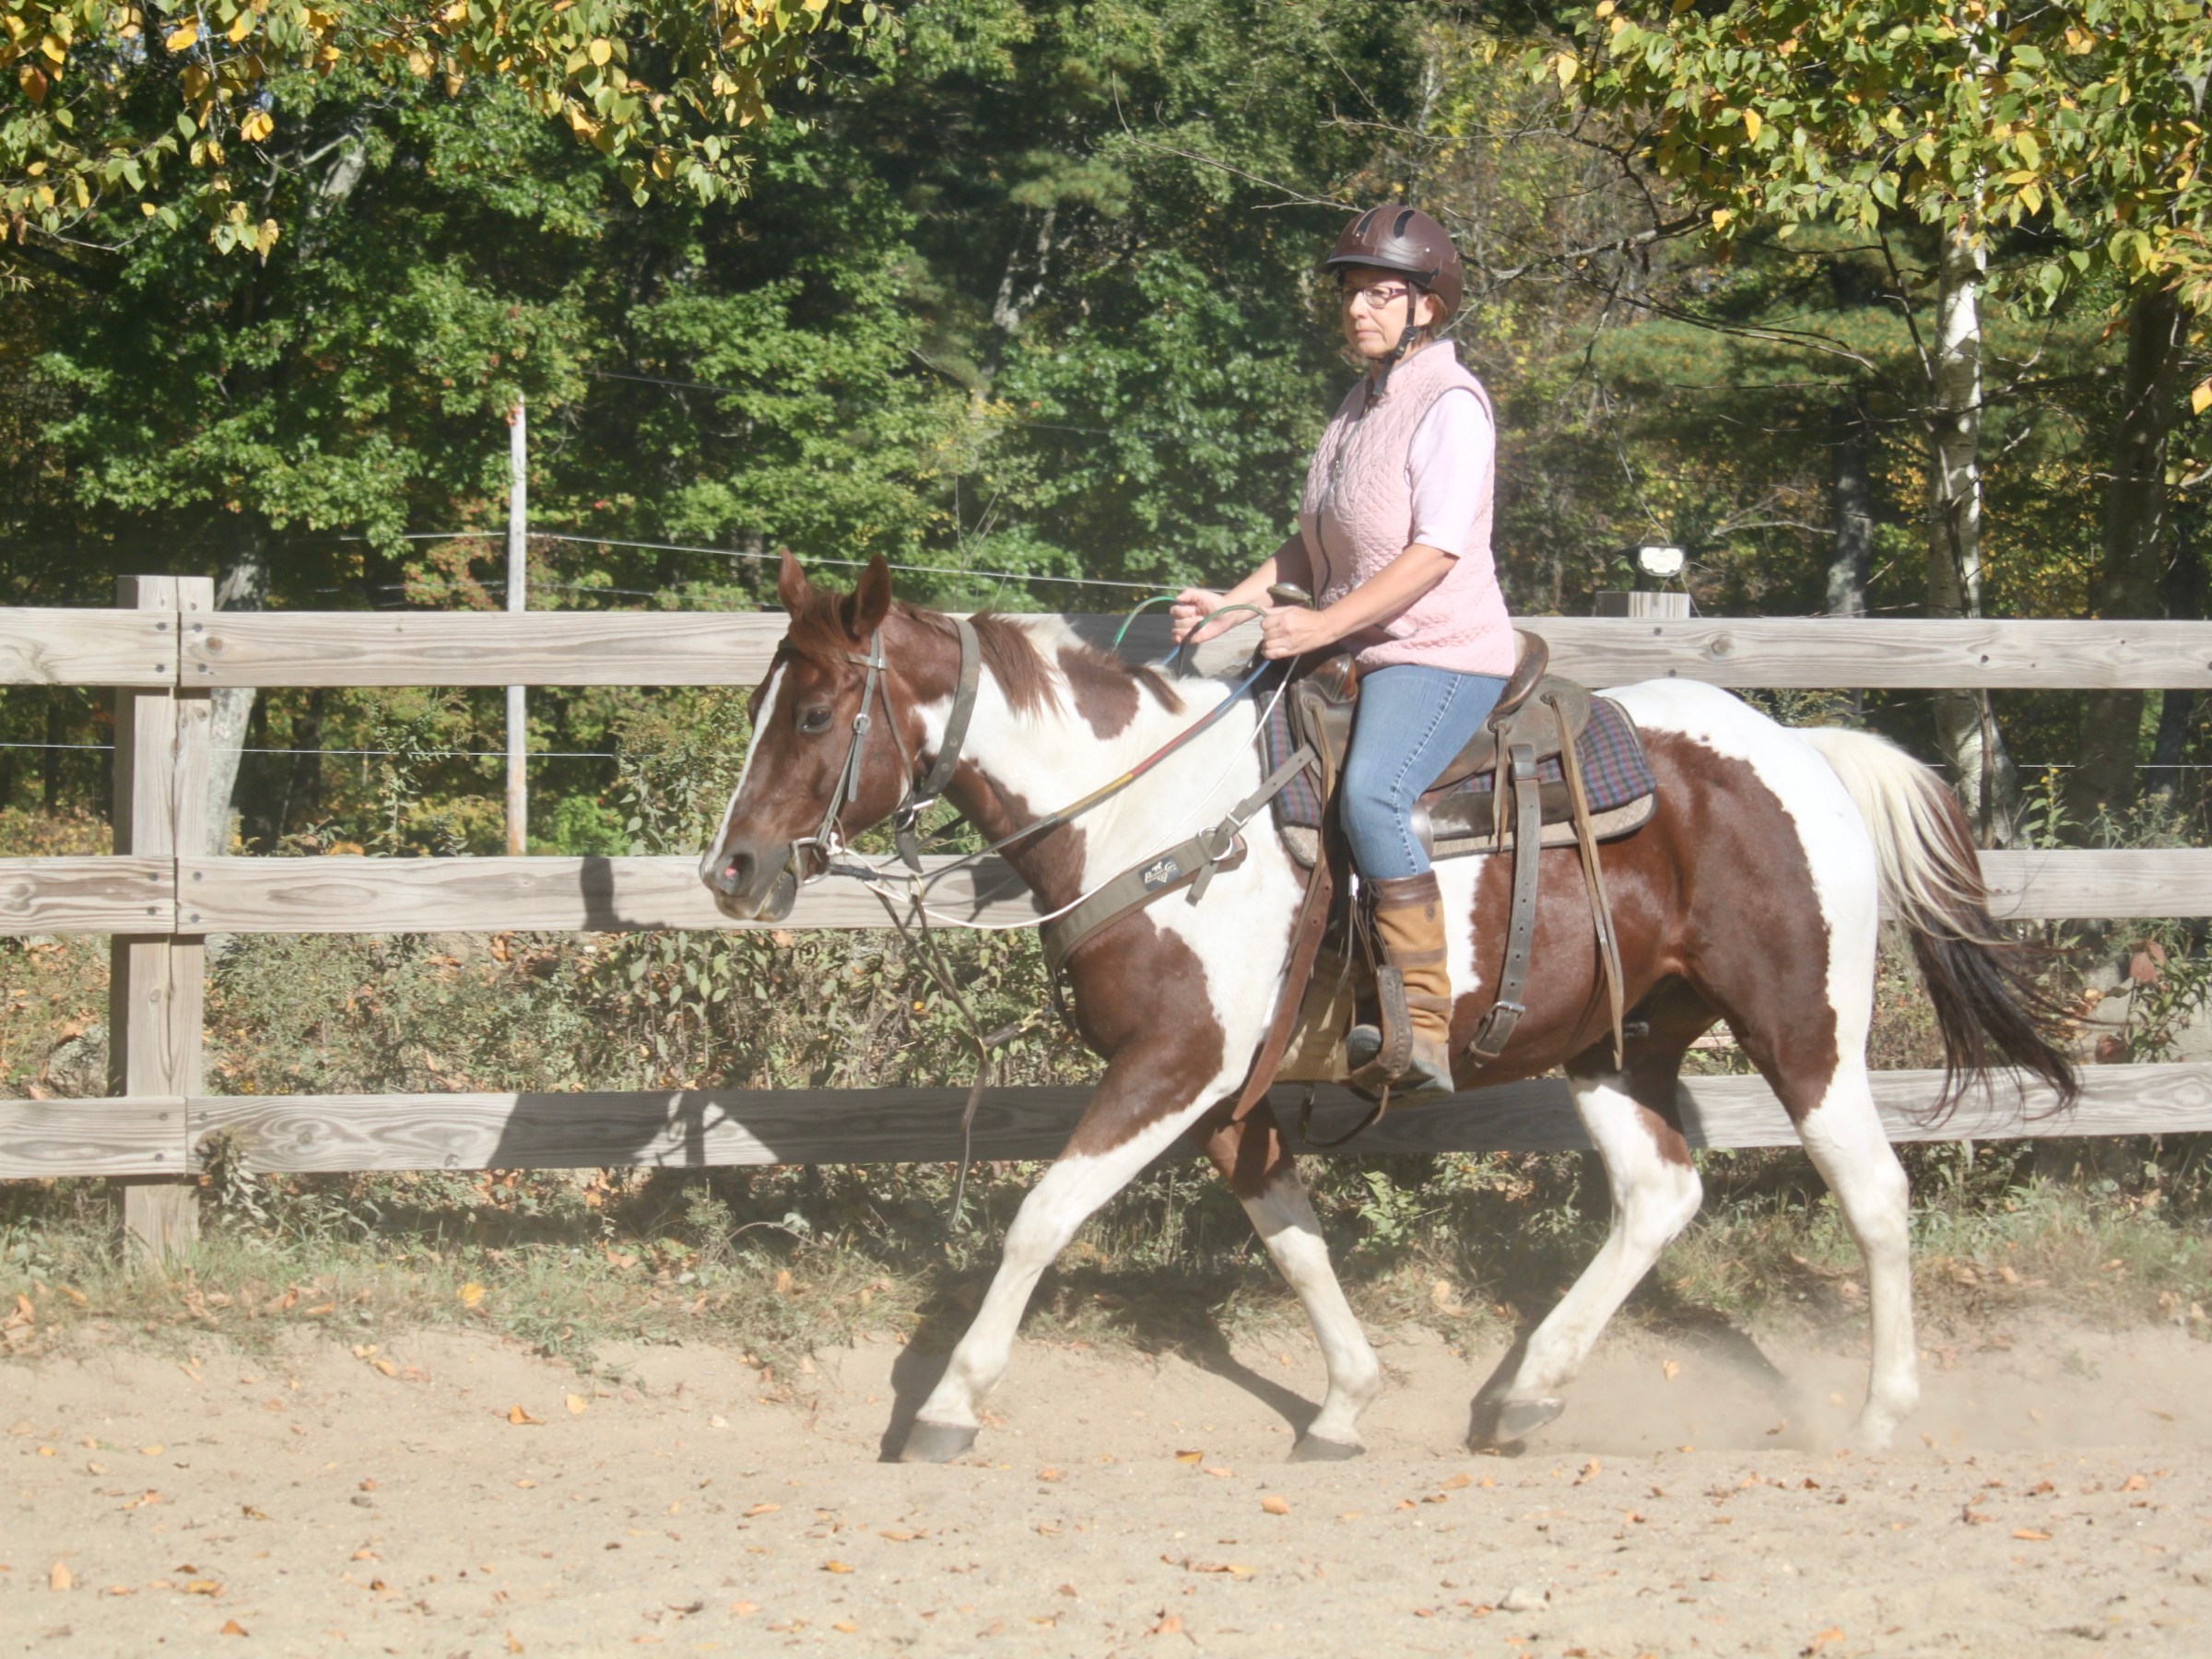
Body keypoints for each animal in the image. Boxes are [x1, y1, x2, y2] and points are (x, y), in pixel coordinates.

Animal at [701, 552, 2075, 1463]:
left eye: (816, 711)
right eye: (766, 702)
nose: (733, 870)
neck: (1149, 816)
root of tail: (1805, 756)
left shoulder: (1176, 1063)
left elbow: (1044, 1215)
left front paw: (946, 1404)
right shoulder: (1231, 1090)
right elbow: (1292, 1233)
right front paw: (1347, 1402)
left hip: (1803, 1026)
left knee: (1874, 1192)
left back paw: (1879, 1416)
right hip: (1617, 1043)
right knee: (1659, 1195)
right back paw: (1526, 1396)